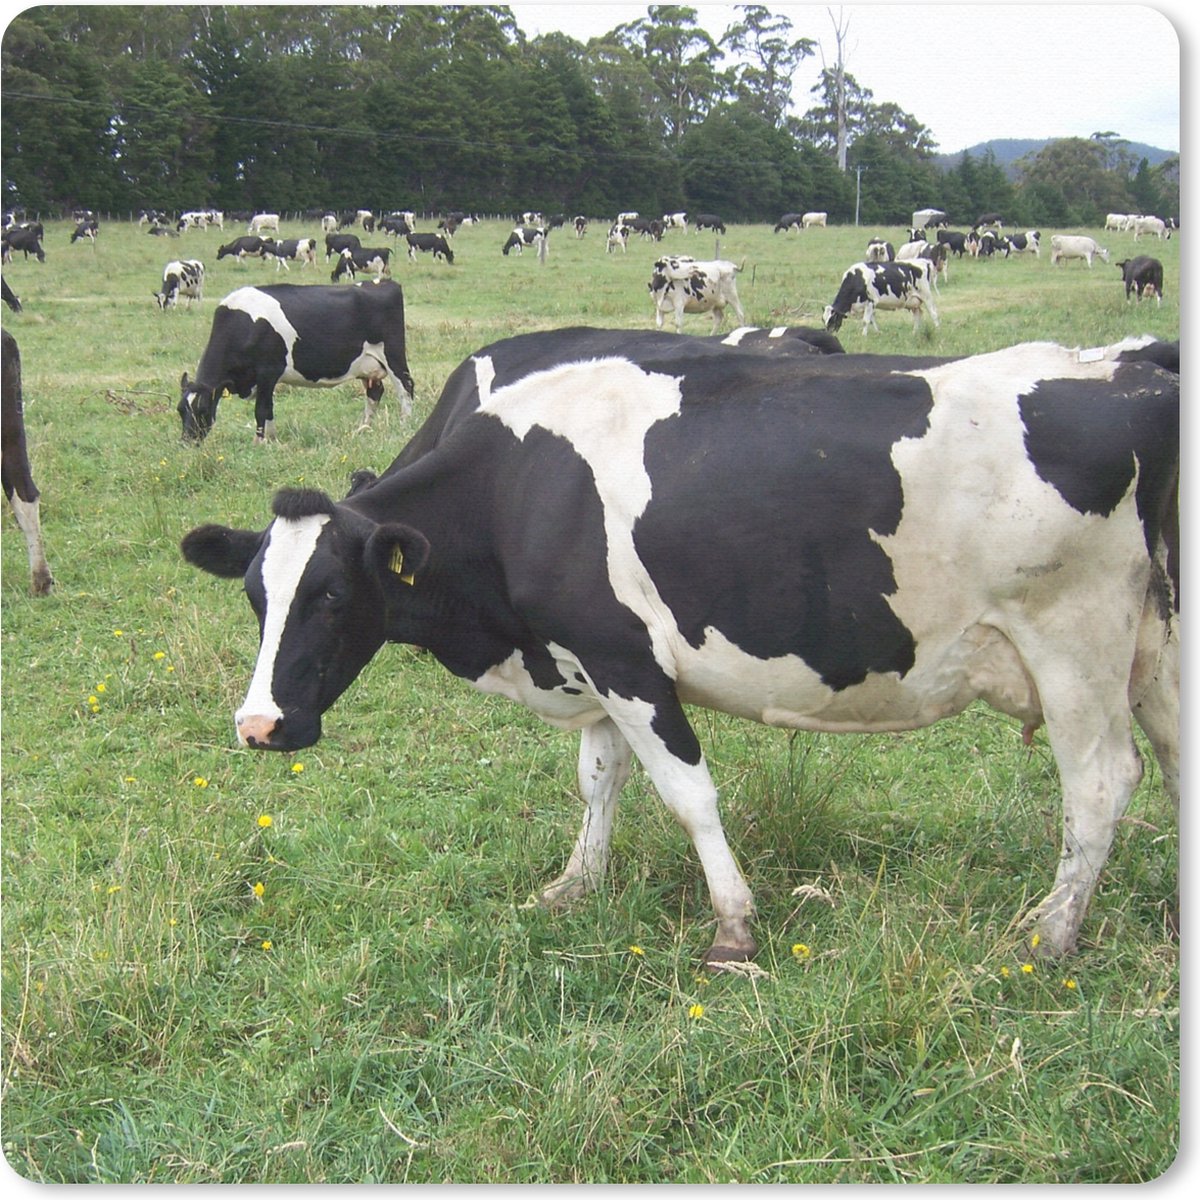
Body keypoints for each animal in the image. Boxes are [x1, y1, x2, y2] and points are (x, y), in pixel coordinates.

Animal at [178, 280, 416, 442]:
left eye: (202, 409)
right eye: (180, 410)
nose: (188, 441)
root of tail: (382, 282)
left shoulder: (268, 371)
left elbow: (261, 408)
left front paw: (260, 442)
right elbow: (269, 408)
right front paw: (271, 439)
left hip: (393, 354)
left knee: (406, 387)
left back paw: (404, 425)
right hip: (368, 365)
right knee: (375, 392)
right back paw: (363, 429)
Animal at [179, 328, 1179, 967]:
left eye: (332, 595)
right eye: (255, 594)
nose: (260, 725)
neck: (520, 490)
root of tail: (1132, 370)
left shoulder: (625, 657)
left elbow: (689, 794)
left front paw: (733, 927)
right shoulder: (586, 656)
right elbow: (598, 780)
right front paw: (574, 885)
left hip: (1073, 638)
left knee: (1102, 781)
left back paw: (1051, 933)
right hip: (1156, 644)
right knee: (1174, 761)